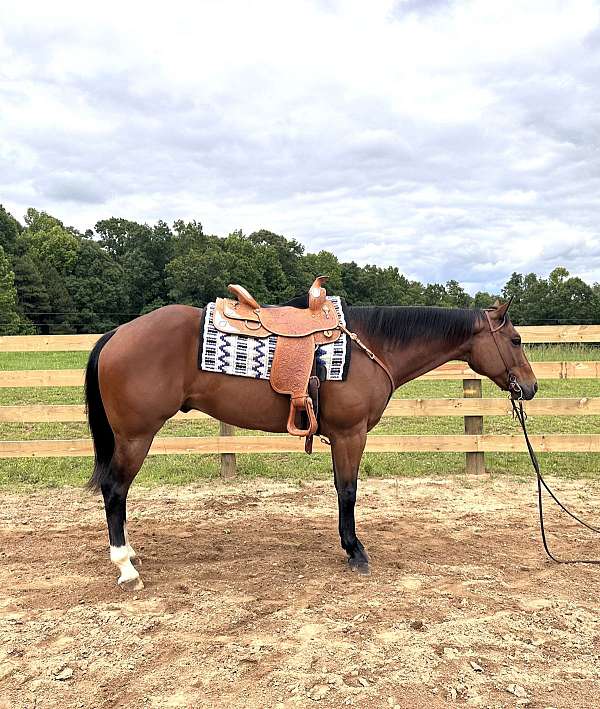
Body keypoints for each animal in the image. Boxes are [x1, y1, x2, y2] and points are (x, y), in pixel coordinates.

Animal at [83, 296, 536, 588]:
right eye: (515, 340)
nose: (530, 387)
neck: (372, 347)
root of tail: (117, 333)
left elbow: (341, 488)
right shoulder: (350, 434)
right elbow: (348, 490)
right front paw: (355, 551)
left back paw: (131, 554)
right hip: (136, 436)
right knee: (115, 490)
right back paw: (126, 567)